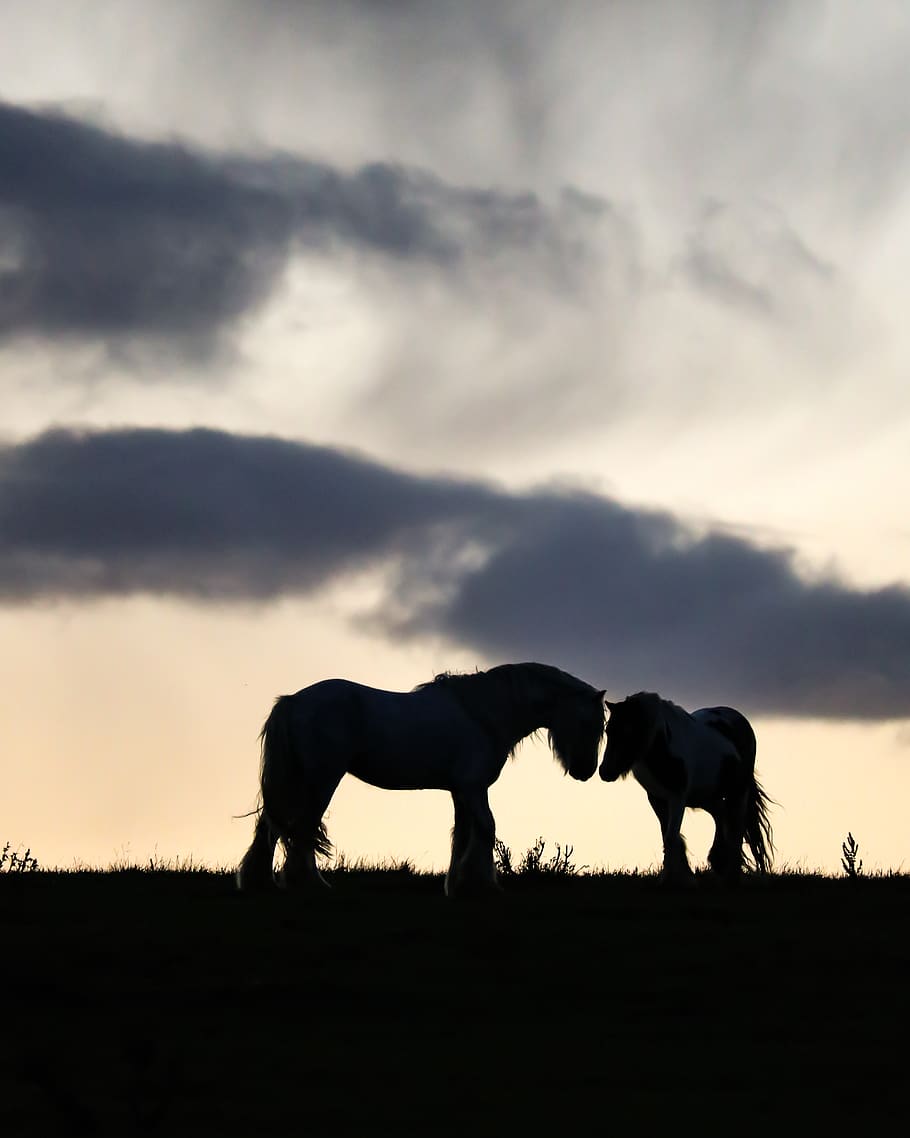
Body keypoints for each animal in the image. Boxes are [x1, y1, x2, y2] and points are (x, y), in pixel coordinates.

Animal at [237, 662, 606, 898]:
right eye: (588, 722)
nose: (585, 771)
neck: (483, 714)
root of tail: (293, 702)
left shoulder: (462, 791)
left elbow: (463, 834)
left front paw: (458, 885)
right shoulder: (473, 788)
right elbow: (486, 828)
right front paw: (483, 884)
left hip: (297, 780)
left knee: (271, 826)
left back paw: (260, 883)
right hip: (321, 779)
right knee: (302, 828)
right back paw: (309, 884)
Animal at [599, 691, 773, 884]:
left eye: (629, 731)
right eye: (608, 730)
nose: (605, 772)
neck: (663, 748)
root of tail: (739, 719)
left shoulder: (677, 799)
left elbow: (671, 836)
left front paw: (671, 877)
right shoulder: (656, 799)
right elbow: (667, 835)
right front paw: (682, 874)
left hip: (739, 792)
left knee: (736, 827)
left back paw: (731, 874)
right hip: (706, 797)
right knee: (721, 815)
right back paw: (719, 861)